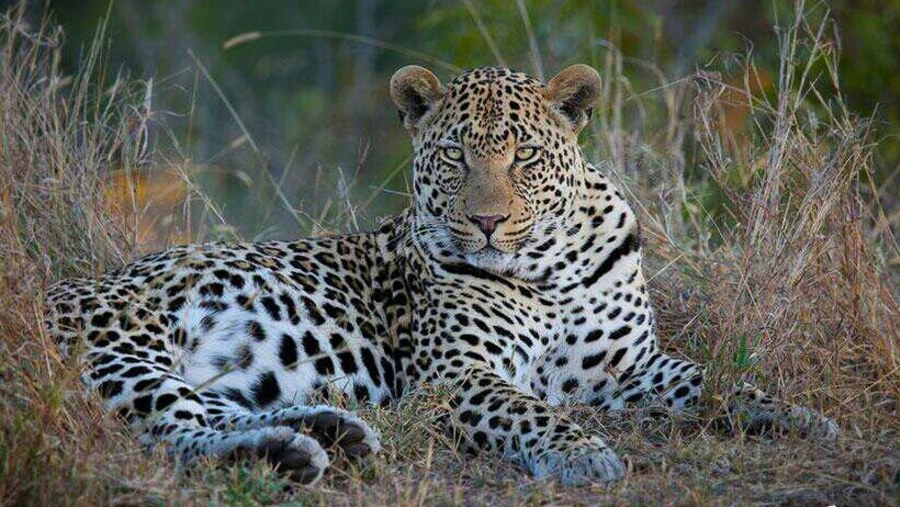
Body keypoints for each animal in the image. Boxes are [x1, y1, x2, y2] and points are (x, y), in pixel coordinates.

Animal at [45, 64, 840, 488]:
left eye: (524, 155)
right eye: (455, 155)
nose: (487, 222)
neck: (547, 266)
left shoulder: (627, 367)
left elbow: (715, 380)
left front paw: (799, 416)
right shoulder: (457, 373)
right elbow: (528, 410)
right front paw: (583, 453)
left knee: (208, 411)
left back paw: (328, 430)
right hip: (122, 347)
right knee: (169, 431)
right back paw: (290, 449)